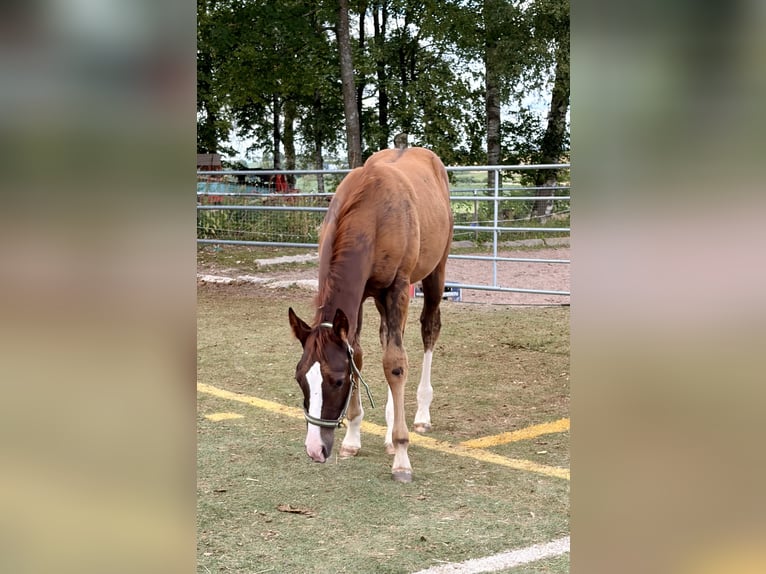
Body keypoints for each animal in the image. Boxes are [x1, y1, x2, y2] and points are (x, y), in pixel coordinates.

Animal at [288, 147, 454, 482]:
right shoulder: (361, 295)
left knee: (428, 329)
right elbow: (359, 354)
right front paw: (352, 439)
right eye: (300, 378)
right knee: (387, 338)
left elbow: (396, 363)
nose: (315, 449)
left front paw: (402, 456)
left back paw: (420, 415)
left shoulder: (398, 287)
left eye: (338, 381)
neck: (370, 213)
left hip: (434, 272)